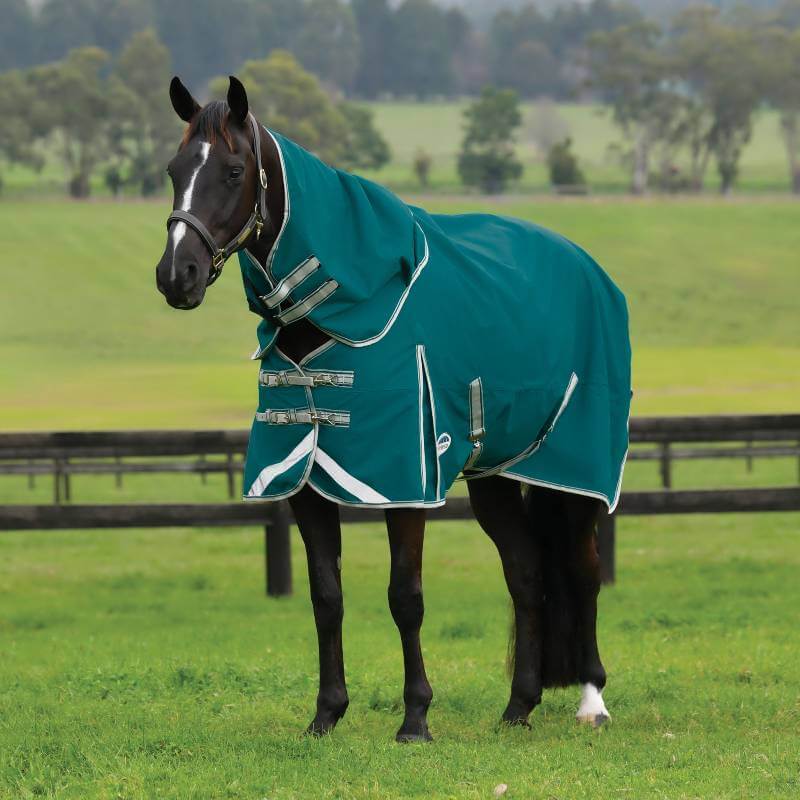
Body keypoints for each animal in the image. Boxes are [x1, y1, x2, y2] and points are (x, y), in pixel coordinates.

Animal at [155, 76, 626, 742]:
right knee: (528, 573)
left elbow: (406, 596)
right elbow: (326, 597)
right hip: (494, 475)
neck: (341, 308)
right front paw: (326, 714)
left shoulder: (403, 482)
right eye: (174, 170)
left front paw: (416, 718)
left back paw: (591, 701)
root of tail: (591, 271)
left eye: (232, 170)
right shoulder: (303, 481)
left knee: (582, 572)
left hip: (573, 471)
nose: (178, 276)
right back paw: (518, 707)